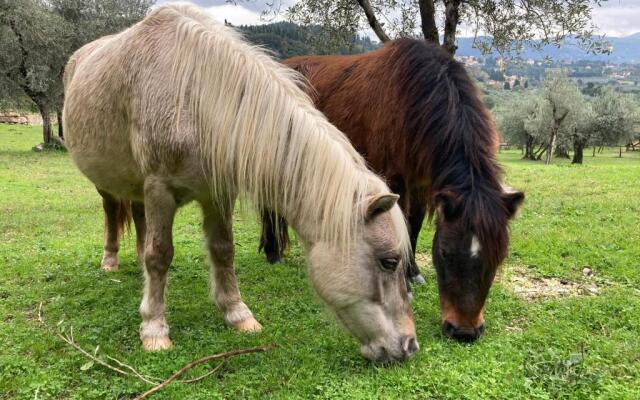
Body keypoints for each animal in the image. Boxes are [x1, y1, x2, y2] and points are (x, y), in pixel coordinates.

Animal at [262, 39, 524, 340]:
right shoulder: (395, 181)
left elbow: (414, 227)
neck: (414, 100)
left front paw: (413, 273)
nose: (464, 331)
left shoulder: (422, 185)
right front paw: (405, 285)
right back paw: (273, 253)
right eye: (445, 253)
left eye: (499, 256)